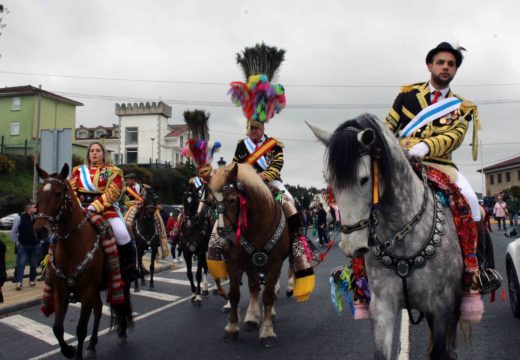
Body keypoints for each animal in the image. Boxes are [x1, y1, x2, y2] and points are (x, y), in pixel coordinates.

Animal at [33, 165, 132, 358]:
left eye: (58, 193)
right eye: (39, 193)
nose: (40, 230)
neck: (72, 246)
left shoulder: (87, 291)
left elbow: (80, 329)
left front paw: (76, 353)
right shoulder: (61, 292)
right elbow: (57, 328)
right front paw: (69, 350)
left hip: (122, 281)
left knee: (122, 303)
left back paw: (123, 333)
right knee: (99, 309)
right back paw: (92, 345)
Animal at [211, 162, 292, 346]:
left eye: (232, 200)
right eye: (212, 203)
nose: (225, 242)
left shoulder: (274, 264)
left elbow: (268, 296)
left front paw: (267, 332)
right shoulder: (234, 263)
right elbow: (234, 295)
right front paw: (232, 327)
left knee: (268, 289)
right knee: (254, 287)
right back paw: (252, 318)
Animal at [308, 114, 464, 360]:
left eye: (364, 179)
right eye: (331, 183)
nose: (351, 247)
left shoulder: (443, 306)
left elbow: (440, 351)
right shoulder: (382, 305)